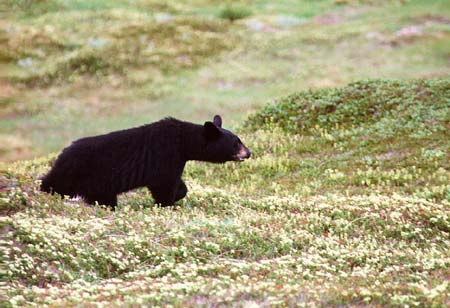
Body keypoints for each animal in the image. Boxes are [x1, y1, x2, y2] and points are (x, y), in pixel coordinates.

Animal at [40, 115, 251, 209]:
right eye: (236, 142)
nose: (249, 152)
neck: (183, 142)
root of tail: (63, 153)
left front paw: (179, 194)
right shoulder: (165, 154)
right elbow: (164, 184)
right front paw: (168, 203)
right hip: (77, 171)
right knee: (54, 183)